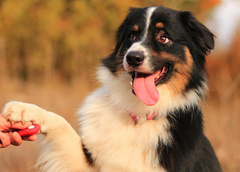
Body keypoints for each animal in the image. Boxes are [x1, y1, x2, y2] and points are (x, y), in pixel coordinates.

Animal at [3, 5, 221, 172]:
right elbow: (62, 123)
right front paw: (24, 110)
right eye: (132, 35)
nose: (132, 58)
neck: (140, 115)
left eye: (164, 38)